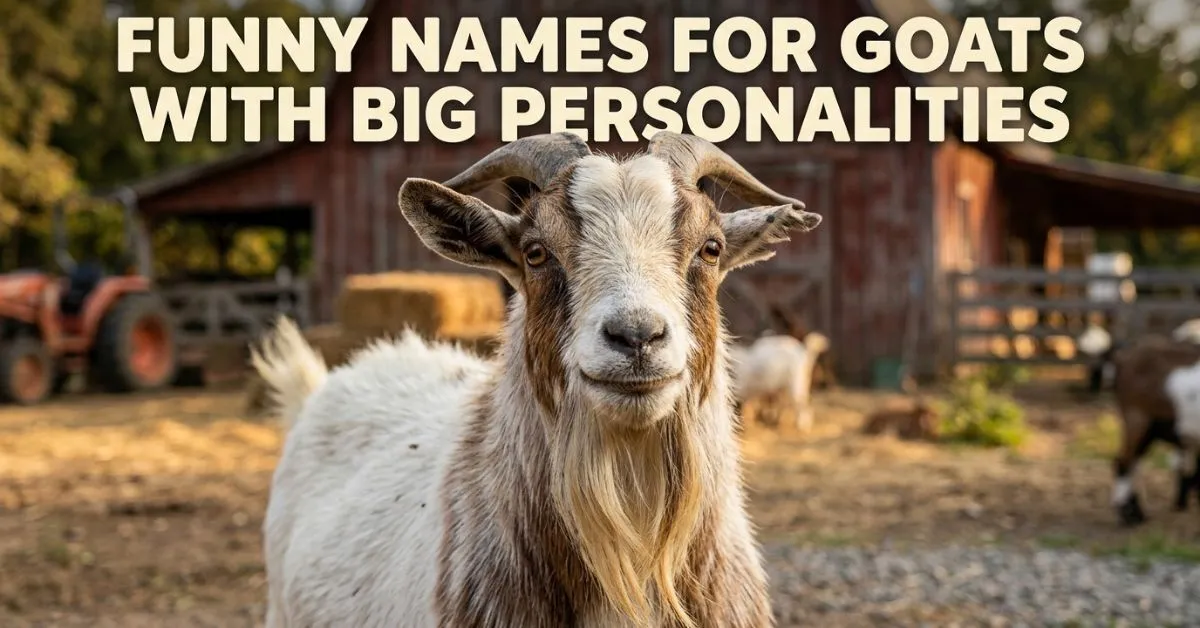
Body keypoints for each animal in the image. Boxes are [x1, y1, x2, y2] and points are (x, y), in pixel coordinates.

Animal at [1109, 335, 1200, 525]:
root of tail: (1123, 358)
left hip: (1151, 427)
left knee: (1134, 461)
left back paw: (1137, 512)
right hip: (1137, 416)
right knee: (1124, 461)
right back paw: (1127, 514)